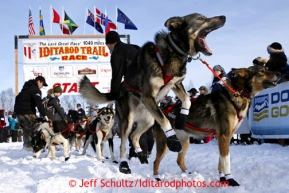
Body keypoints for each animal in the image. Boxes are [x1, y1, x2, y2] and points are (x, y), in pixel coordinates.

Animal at [79, 12, 225, 174]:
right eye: (200, 18)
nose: (223, 17)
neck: (173, 51)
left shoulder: (176, 83)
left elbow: (186, 99)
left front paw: (182, 118)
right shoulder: (149, 95)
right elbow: (166, 120)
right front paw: (173, 140)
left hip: (149, 119)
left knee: (134, 136)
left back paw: (140, 152)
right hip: (128, 119)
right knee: (123, 143)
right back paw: (124, 163)